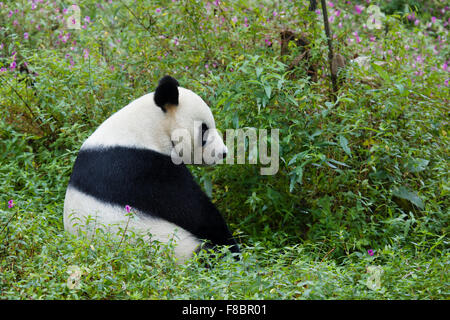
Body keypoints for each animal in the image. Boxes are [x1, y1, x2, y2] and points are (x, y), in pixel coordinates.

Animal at [64, 75, 239, 262]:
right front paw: (232, 248)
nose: (223, 153)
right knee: (203, 253)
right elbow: (191, 209)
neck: (149, 128)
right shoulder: (140, 166)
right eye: (204, 129)